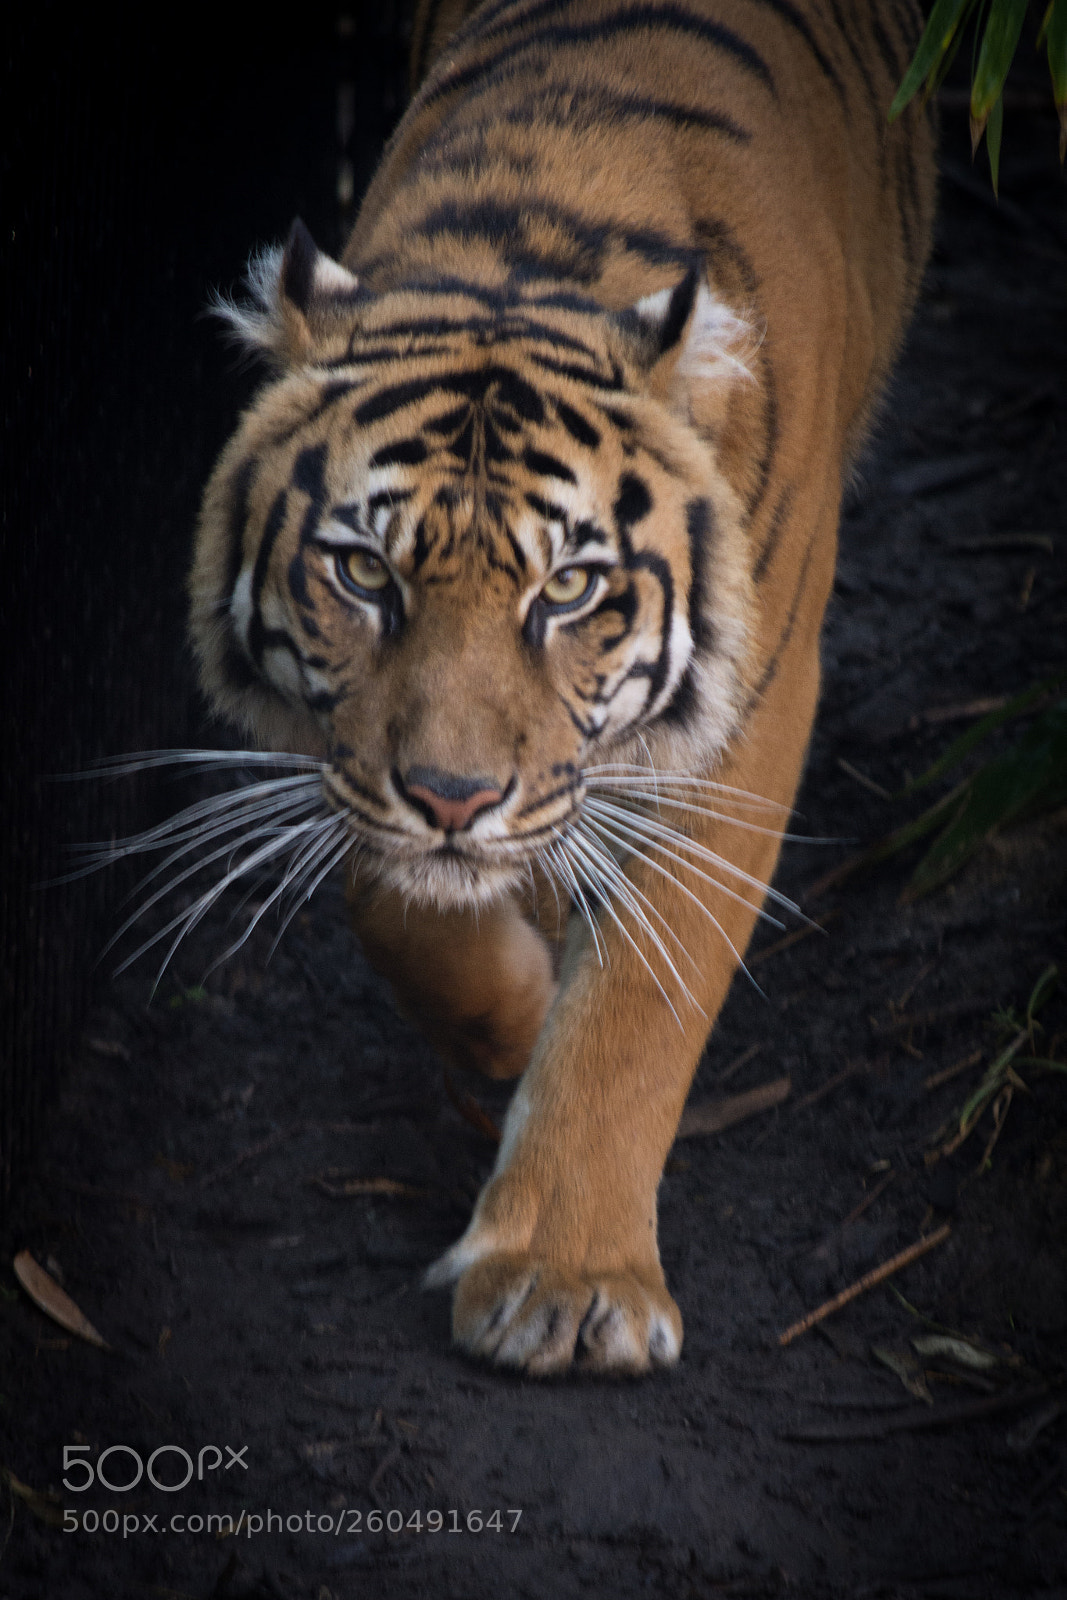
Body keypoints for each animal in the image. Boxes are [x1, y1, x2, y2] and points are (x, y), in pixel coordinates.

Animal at [189, 0, 936, 1375]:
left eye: (572, 589)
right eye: (364, 571)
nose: (452, 795)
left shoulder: (745, 720)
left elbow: (643, 995)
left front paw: (565, 1284)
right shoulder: (360, 759)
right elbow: (403, 901)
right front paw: (519, 996)